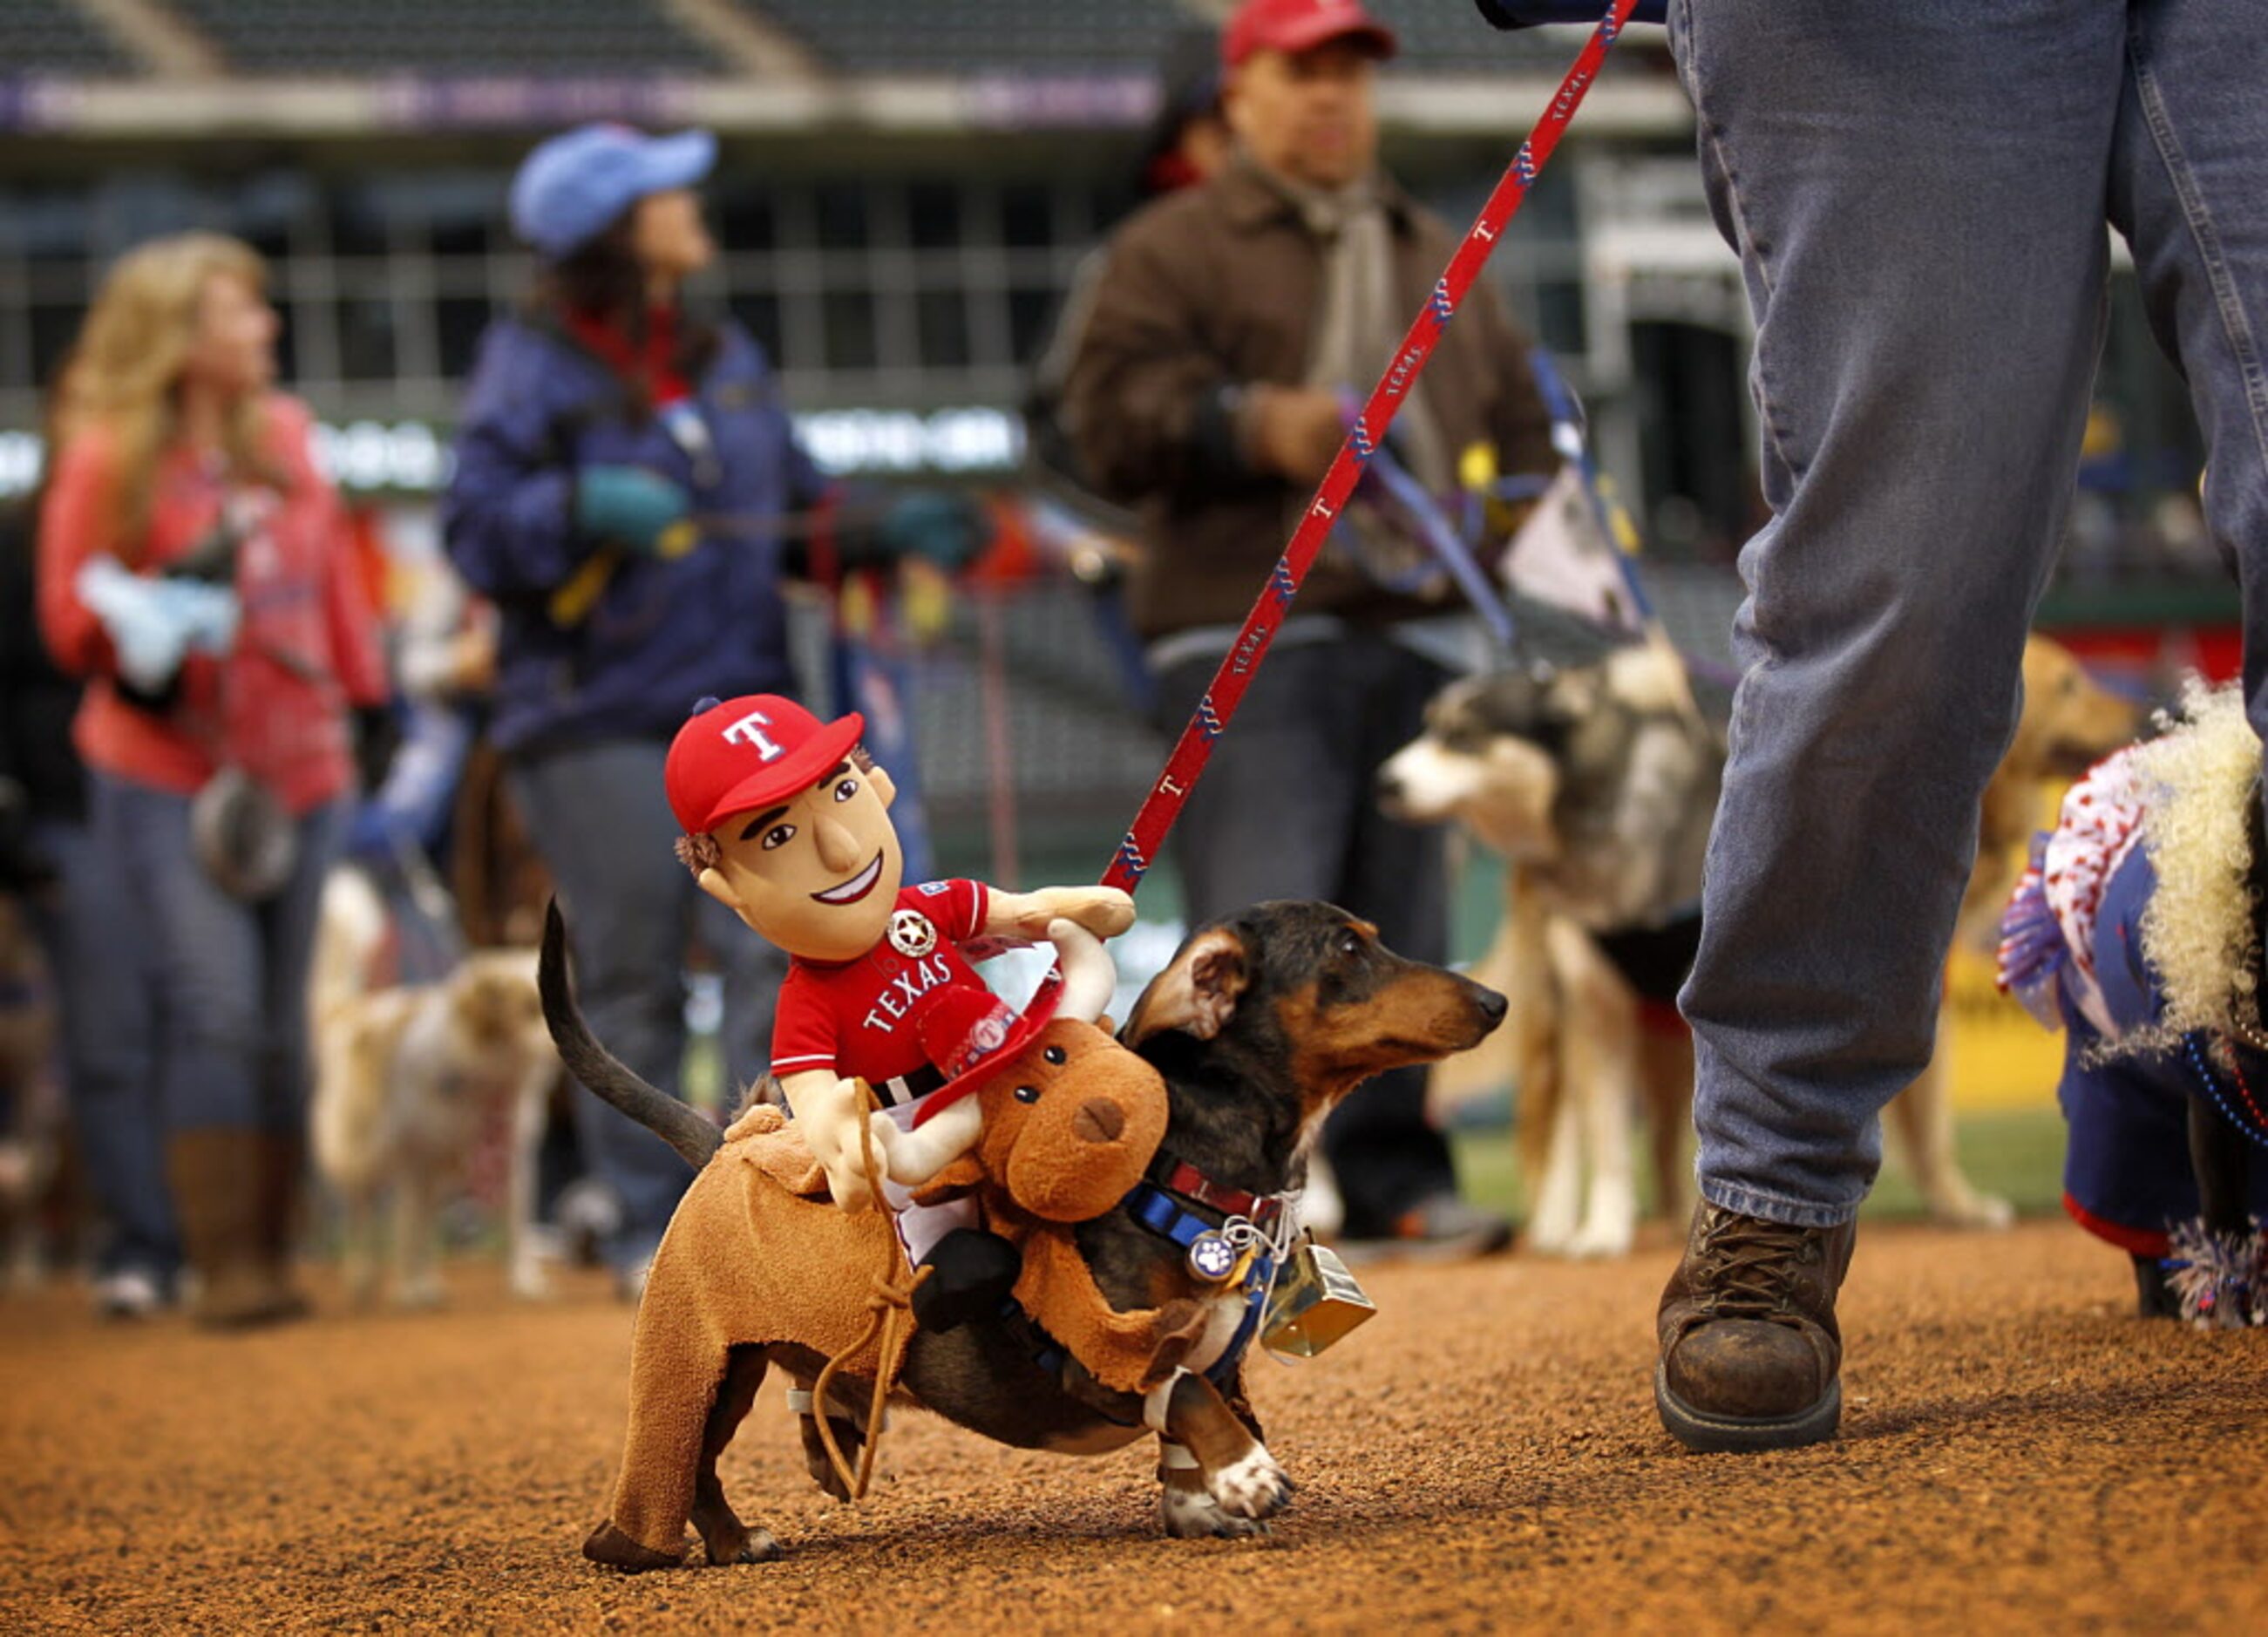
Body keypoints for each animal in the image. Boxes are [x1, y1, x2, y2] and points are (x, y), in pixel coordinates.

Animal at [541, 898, 1505, 1559]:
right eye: (1348, 948)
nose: (1496, 1000)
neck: (1178, 1169)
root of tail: (723, 1146)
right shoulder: (1097, 1353)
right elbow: (1188, 1391)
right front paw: (1246, 1475)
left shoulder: (1216, 1349)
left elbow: (1203, 1401)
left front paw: (1198, 1502)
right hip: (709, 1361)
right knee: (692, 1462)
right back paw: (731, 1541)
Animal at [1379, 630, 2141, 1260]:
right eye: (2070, 686)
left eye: (1460, 736)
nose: (1386, 781)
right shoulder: (1608, 997)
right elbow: (1613, 1135)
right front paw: (1606, 1233)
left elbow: (1921, 1121)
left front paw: (1954, 1206)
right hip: (1565, 1005)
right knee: (1564, 1119)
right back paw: (1568, 1225)